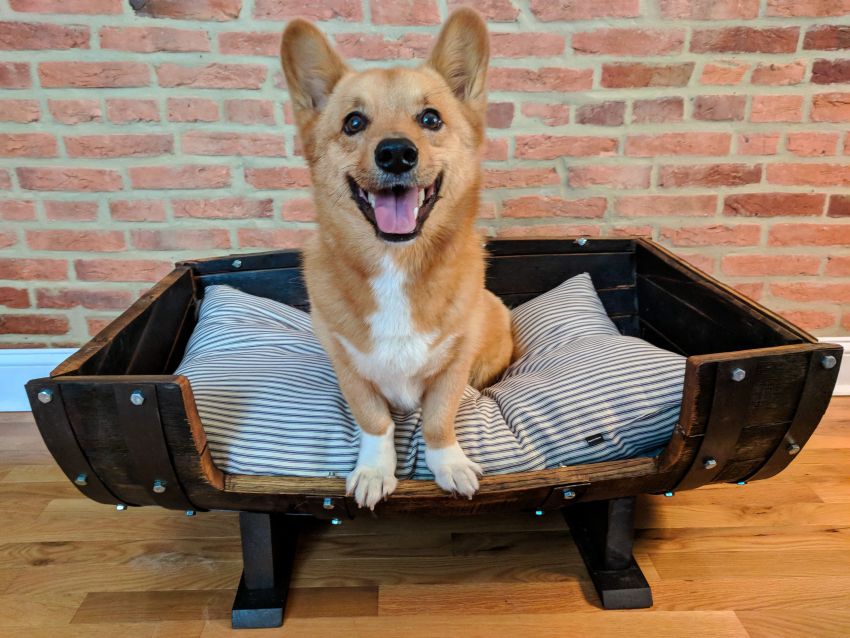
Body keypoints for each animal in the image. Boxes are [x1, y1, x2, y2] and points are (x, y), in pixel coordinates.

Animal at [282, 8, 512, 510]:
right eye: (353, 123)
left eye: (430, 118)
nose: (396, 154)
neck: (395, 262)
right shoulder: (350, 370)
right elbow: (375, 422)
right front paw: (374, 471)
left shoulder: (452, 365)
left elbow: (437, 420)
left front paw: (450, 466)